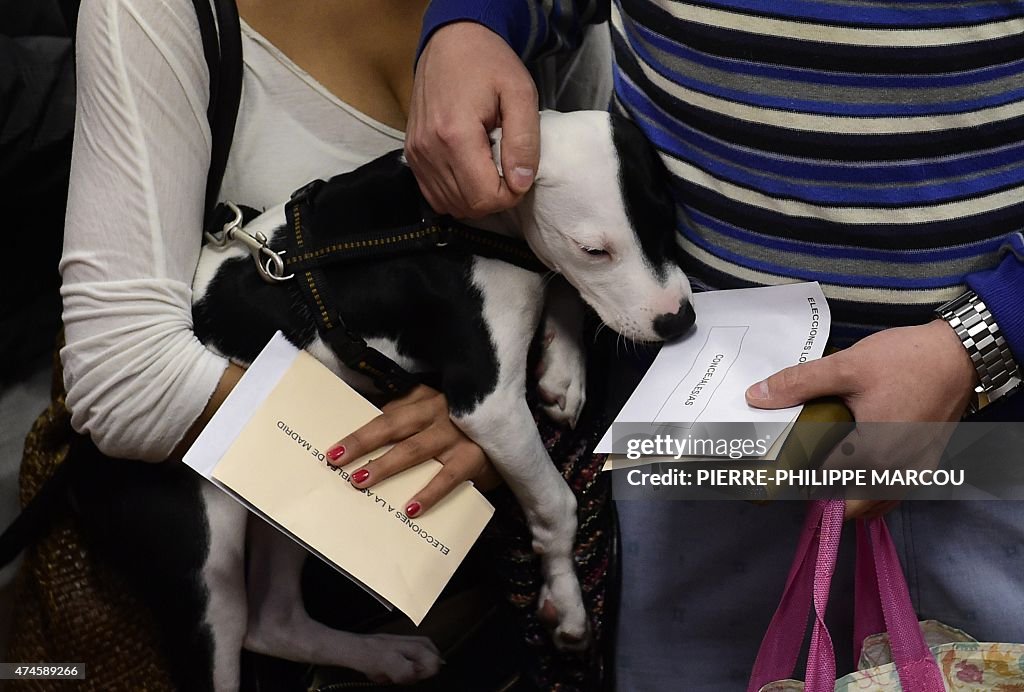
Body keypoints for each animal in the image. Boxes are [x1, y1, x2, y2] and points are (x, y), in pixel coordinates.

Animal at [182, 109, 696, 687]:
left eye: (667, 221)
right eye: (594, 251)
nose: (678, 322)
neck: (460, 223)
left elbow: (560, 285)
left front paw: (563, 370)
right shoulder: (490, 405)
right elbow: (556, 505)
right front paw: (565, 603)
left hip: (283, 511)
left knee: (275, 622)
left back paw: (385, 657)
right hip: (212, 566)